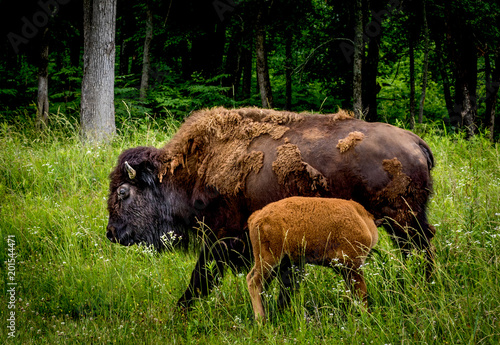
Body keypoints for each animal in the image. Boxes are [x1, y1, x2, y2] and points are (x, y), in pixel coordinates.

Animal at [246, 196, 378, 320]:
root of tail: (257, 216)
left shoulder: (347, 268)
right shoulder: (353, 264)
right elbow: (361, 292)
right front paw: (366, 317)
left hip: (279, 263)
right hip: (269, 260)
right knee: (253, 281)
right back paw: (261, 319)